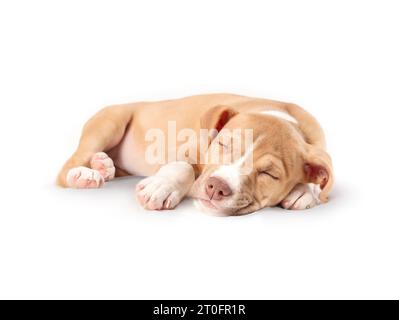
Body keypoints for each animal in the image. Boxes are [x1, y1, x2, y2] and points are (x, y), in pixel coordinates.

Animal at [57, 94, 334, 216]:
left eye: (269, 173)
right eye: (223, 145)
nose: (216, 187)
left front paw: (303, 191)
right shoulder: (188, 147)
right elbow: (183, 167)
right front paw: (161, 187)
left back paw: (103, 166)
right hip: (110, 123)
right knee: (66, 168)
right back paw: (84, 175)